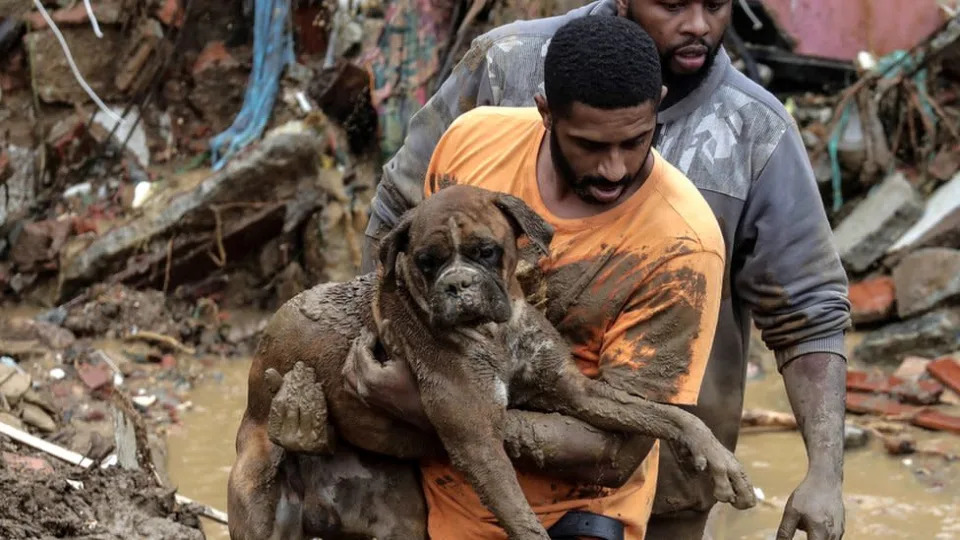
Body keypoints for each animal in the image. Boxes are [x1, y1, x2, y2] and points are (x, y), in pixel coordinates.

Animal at [227, 185, 756, 540]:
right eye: (426, 261)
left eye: (486, 251)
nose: (458, 284)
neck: (494, 335)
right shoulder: (478, 441)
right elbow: (522, 517)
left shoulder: (576, 390)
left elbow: (661, 413)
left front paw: (720, 459)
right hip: (257, 490)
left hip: (396, 516)